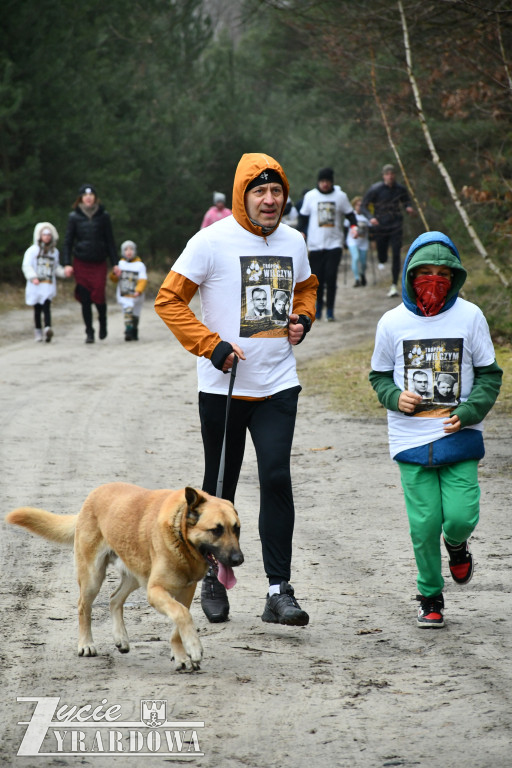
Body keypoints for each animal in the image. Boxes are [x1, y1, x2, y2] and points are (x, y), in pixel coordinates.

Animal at [5, 484, 242, 668]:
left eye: (236, 529)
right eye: (216, 530)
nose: (239, 559)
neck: (180, 534)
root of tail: (93, 495)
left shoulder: (185, 593)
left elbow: (178, 624)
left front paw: (182, 656)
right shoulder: (155, 591)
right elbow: (182, 615)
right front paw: (193, 648)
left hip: (135, 575)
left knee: (114, 599)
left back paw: (120, 637)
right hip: (93, 577)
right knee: (84, 606)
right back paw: (86, 644)